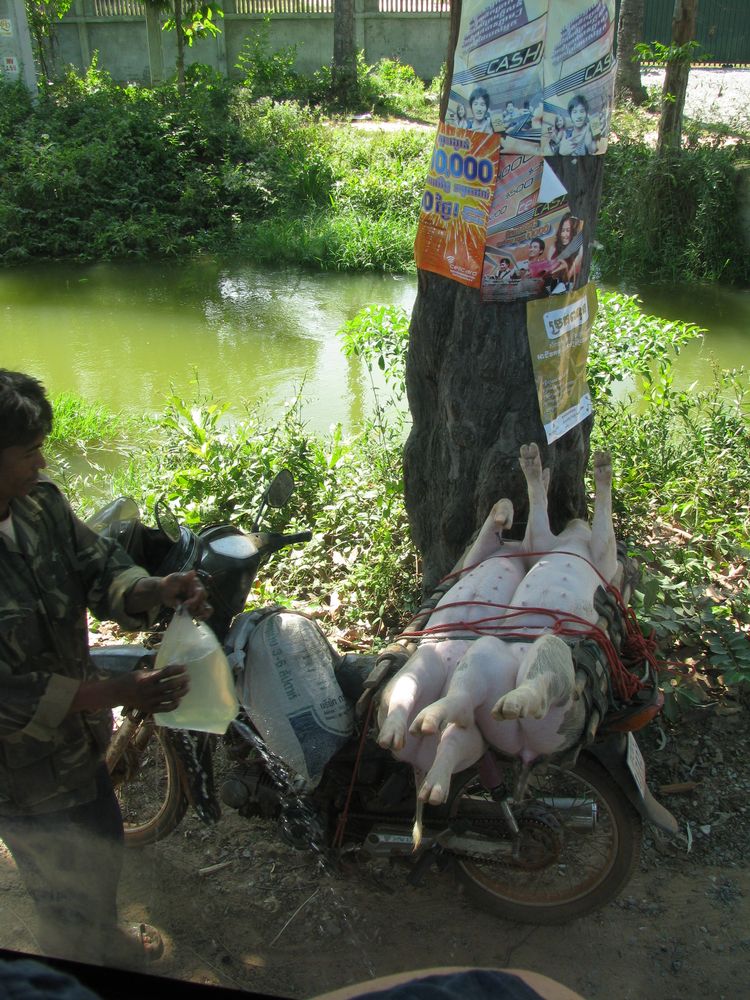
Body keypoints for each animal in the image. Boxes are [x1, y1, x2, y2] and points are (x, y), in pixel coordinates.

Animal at [376, 446, 616, 820]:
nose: (576, 520)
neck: (574, 541)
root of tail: (527, 751)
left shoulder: (603, 562)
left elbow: (601, 531)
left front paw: (600, 464)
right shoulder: (506, 550)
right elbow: (526, 518)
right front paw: (529, 473)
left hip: (550, 714)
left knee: (533, 687)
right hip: (440, 669)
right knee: (426, 696)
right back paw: (411, 728)